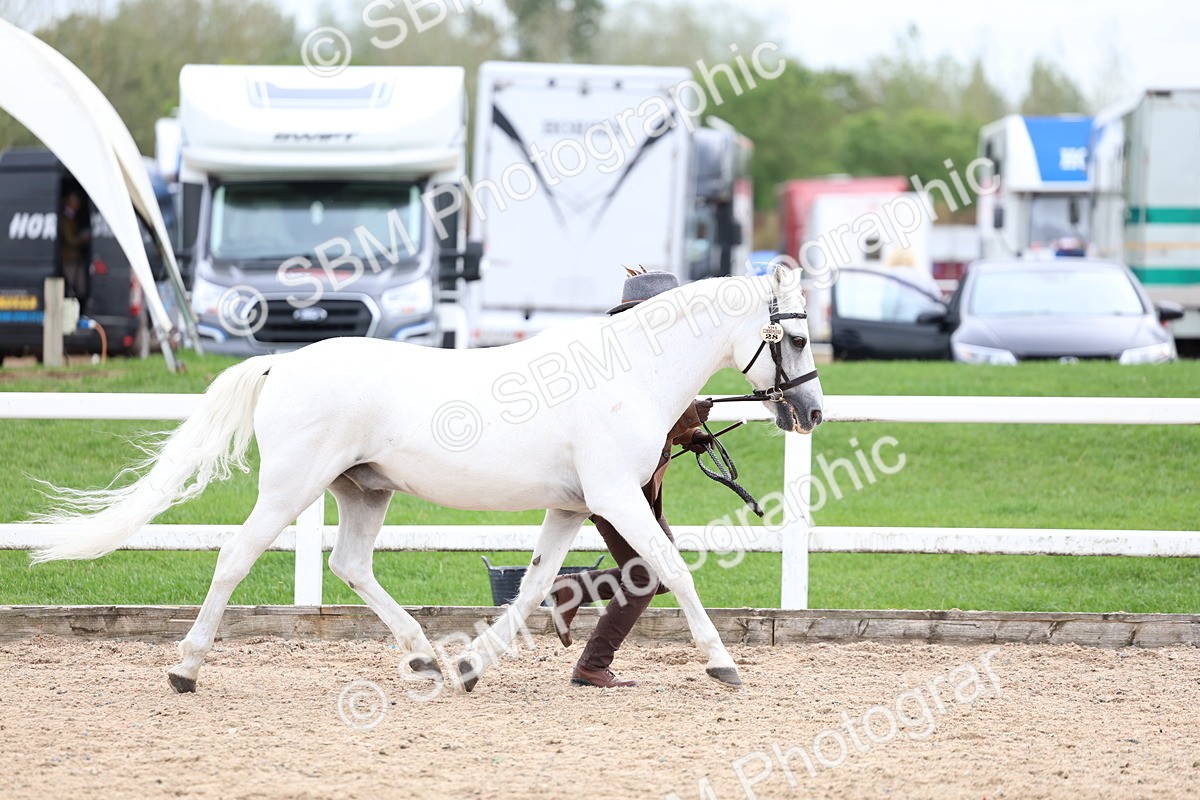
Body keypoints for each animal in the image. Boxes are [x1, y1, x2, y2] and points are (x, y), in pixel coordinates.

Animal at [31, 265, 824, 693]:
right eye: (796, 334)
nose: (812, 411)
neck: (625, 374)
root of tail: (281, 363)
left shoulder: (573, 508)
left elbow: (535, 586)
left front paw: (472, 665)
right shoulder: (616, 498)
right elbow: (669, 569)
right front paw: (723, 664)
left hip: (364, 490)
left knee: (350, 564)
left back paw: (422, 656)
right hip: (291, 488)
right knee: (235, 557)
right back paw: (187, 669)